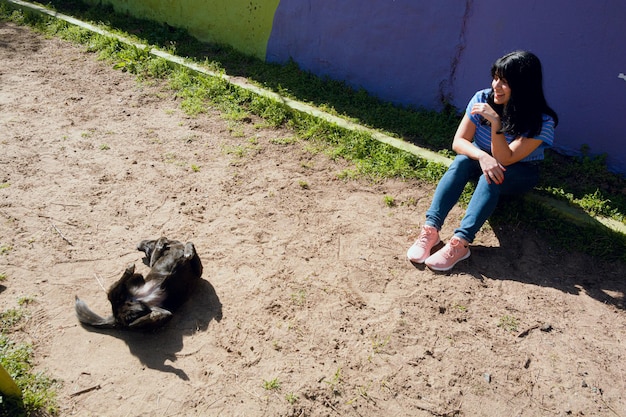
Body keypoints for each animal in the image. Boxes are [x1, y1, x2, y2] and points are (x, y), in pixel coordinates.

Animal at [74, 237, 202, 328]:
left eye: (148, 243)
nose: (138, 245)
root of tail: (116, 317)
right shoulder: (153, 263)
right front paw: (162, 242)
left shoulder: (198, 270)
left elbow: (189, 242)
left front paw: (186, 250)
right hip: (137, 278)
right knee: (113, 292)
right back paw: (129, 271)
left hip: (158, 312)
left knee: (135, 322)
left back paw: (155, 314)